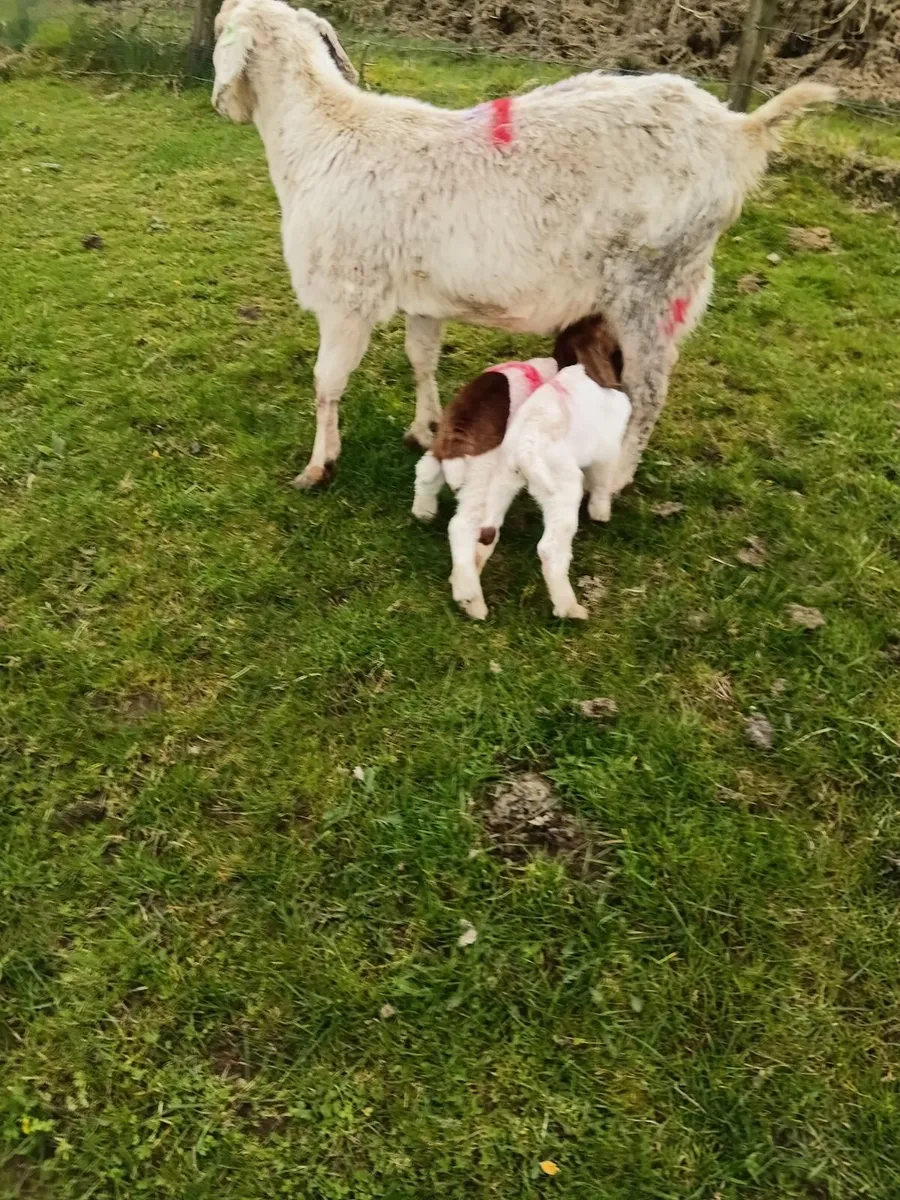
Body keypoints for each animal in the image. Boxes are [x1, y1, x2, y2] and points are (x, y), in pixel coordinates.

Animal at [212, 0, 835, 491]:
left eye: (220, 26)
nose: (221, 107)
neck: (324, 132)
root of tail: (737, 131)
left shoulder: (345, 297)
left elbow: (327, 382)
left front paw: (318, 466)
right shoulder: (423, 296)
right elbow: (421, 358)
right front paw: (425, 428)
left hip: (652, 284)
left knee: (649, 390)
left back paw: (615, 480)